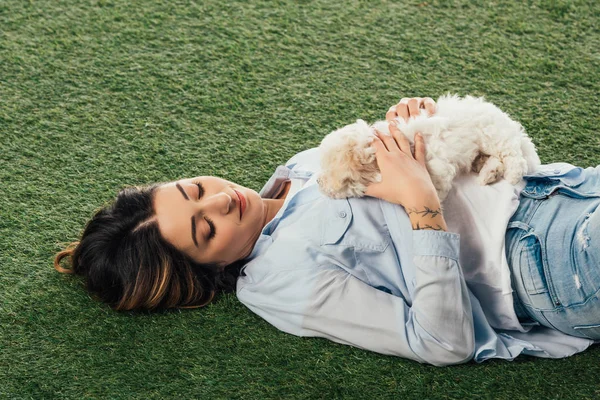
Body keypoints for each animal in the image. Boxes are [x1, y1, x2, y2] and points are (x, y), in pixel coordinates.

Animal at [316, 93, 540, 200]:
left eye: (340, 180)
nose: (318, 181)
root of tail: (513, 127)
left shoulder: (437, 166)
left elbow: (434, 187)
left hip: (494, 136)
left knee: (514, 156)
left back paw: (512, 175)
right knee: (494, 159)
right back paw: (488, 174)